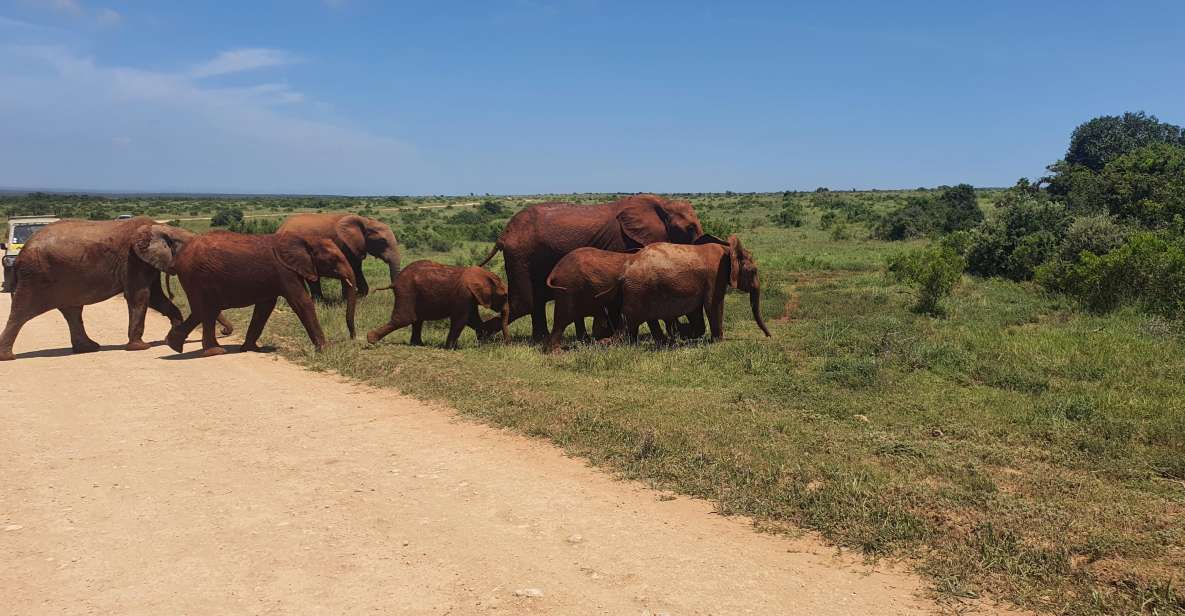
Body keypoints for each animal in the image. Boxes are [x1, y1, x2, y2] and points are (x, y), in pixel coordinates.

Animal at [0, 216, 193, 360]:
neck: (161, 227)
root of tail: (20, 254)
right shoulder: (133, 260)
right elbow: (141, 296)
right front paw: (141, 348)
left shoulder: (145, 262)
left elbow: (155, 297)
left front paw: (172, 338)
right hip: (34, 277)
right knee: (21, 312)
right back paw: (7, 357)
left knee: (72, 311)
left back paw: (88, 348)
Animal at [165, 231, 355, 355]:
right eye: (333, 260)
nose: (352, 338)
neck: (304, 239)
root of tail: (178, 257)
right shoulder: (285, 271)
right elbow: (302, 302)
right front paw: (326, 350)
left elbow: (265, 307)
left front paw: (251, 349)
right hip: (197, 276)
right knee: (206, 310)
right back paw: (214, 351)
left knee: (204, 311)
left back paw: (174, 345)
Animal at [362, 257, 507, 348]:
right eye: (505, 296)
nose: (505, 342)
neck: (484, 275)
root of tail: (395, 282)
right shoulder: (464, 295)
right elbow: (461, 320)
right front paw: (450, 348)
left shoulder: (470, 298)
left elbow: (472, 319)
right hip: (407, 291)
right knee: (405, 318)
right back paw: (371, 339)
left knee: (417, 320)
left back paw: (418, 344)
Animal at [476, 194, 701, 341]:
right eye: (690, 228)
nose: (688, 333)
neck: (663, 203)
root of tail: (503, 235)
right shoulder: (622, 242)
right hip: (521, 256)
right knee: (525, 303)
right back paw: (485, 336)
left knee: (535, 302)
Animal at [616, 234, 772, 341]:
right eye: (753, 271)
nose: (769, 336)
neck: (727, 248)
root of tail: (626, 267)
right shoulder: (715, 275)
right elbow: (713, 304)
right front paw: (718, 340)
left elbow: (697, 308)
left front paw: (688, 334)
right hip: (639, 289)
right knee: (632, 321)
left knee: (648, 319)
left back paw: (666, 341)